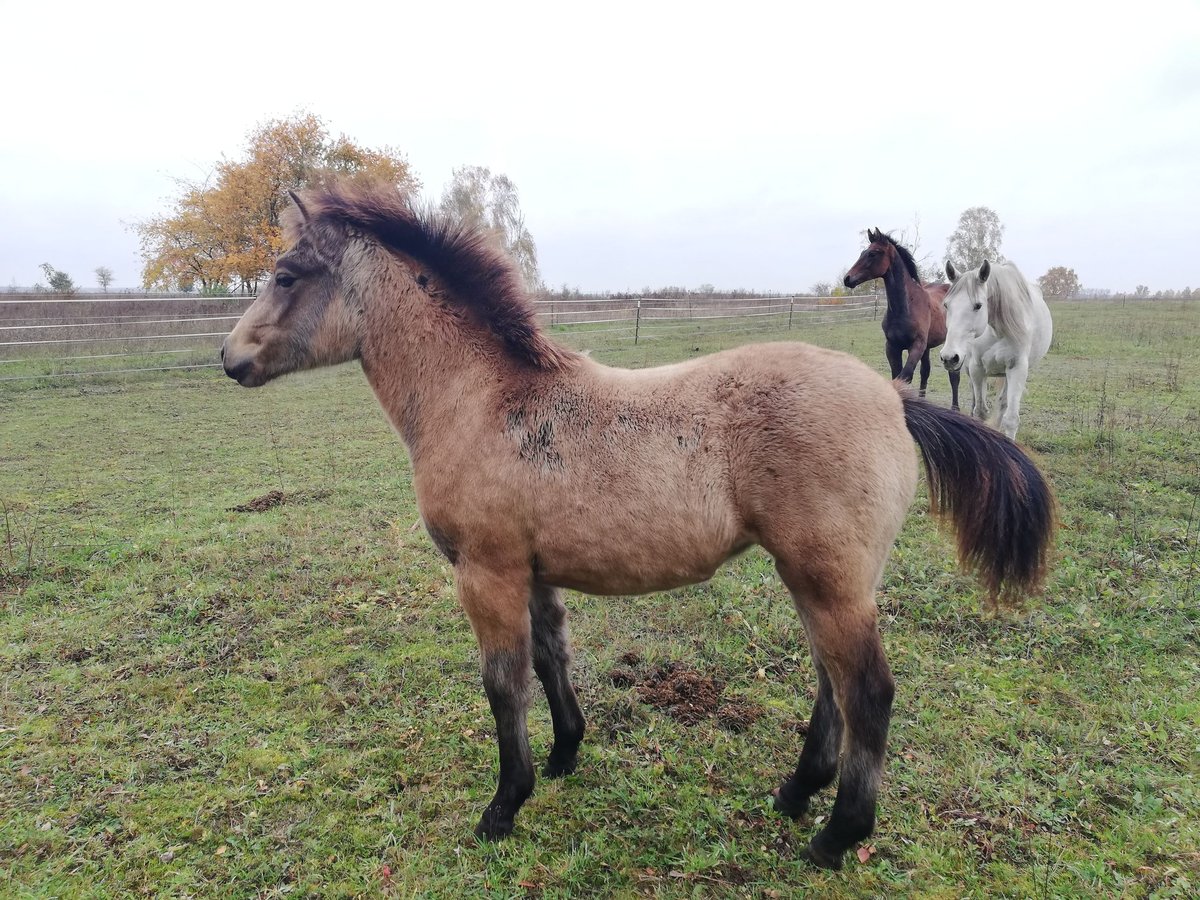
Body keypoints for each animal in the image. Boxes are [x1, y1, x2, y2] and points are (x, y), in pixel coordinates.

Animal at [849, 226, 960, 410]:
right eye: (862, 252)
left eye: (873, 253)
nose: (847, 278)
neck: (906, 307)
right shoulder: (892, 346)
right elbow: (897, 376)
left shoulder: (916, 345)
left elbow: (905, 377)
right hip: (927, 347)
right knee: (925, 372)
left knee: (954, 376)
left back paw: (955, 408)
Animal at [936, 259, 1051, 441]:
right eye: (946, 305)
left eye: (978, 306)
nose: (949, 357)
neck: (997, 330)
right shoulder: (977, 369)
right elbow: (980, 412)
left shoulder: (1017, 368)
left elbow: (1010, 419)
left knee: (1003, 403)